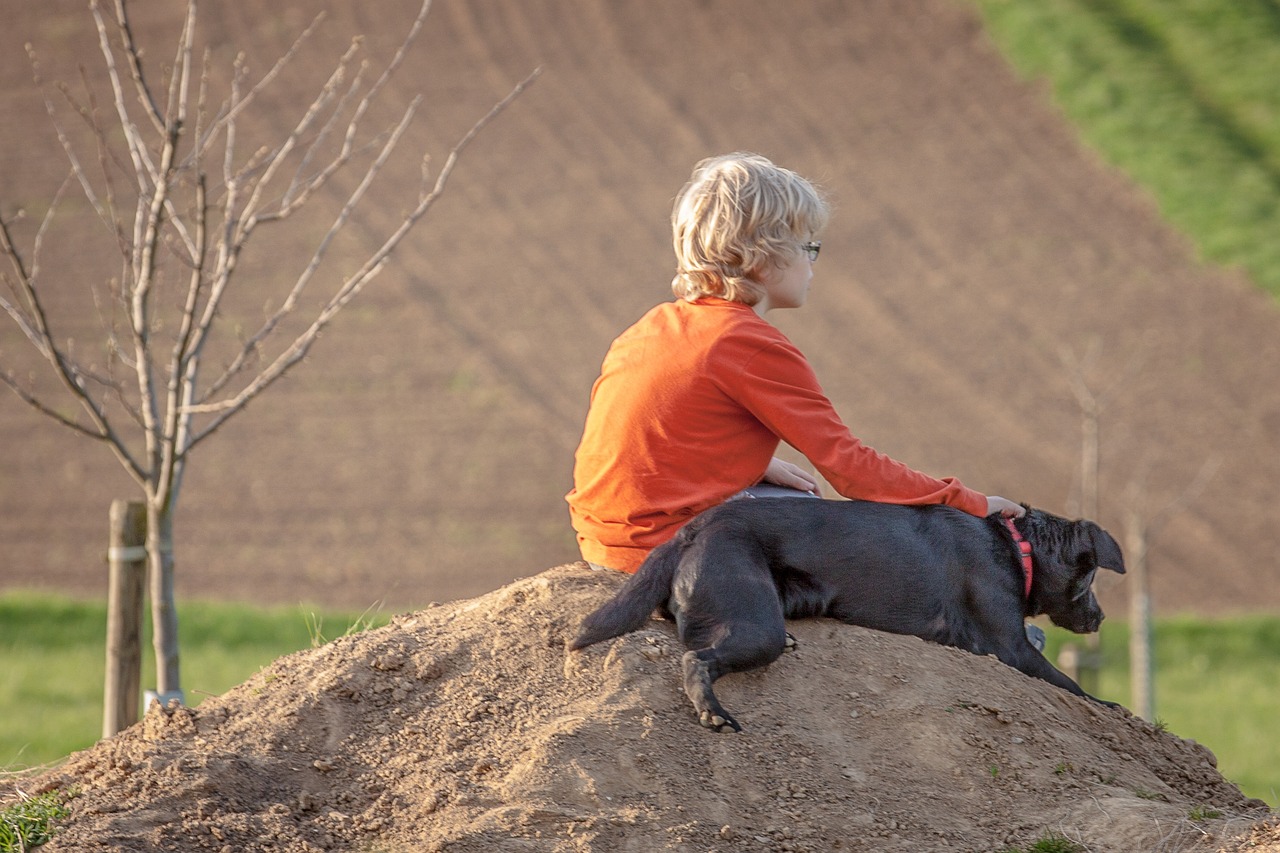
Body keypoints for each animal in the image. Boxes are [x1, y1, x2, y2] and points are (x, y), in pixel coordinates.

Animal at [576, 499, 1126, 732]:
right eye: (1090, 578)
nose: (1100, 620)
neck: (1018, 546)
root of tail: (694, 527)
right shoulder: (1009, 647)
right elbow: (1074, 686)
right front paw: (1110, 704)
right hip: (756, 624)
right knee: (696, 660)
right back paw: (713, 712)